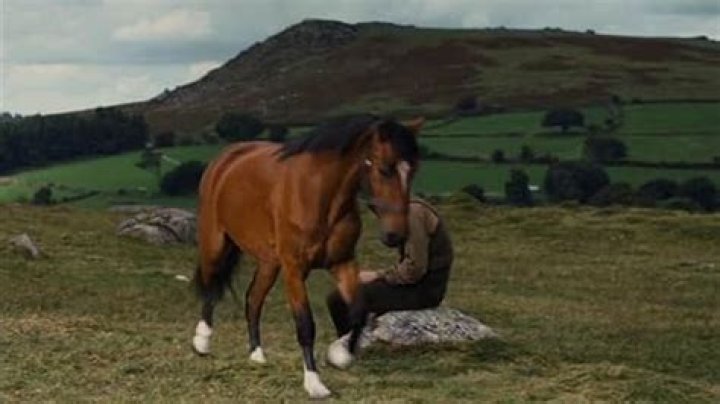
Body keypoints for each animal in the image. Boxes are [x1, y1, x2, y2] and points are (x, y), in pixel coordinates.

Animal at [191, 114, 424, 398]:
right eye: (384, 169)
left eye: (413, 170)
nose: (396, 235)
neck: (320, 198)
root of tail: (225, 159)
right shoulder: (295, 269)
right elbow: (305, 325)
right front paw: (314, 383)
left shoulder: (342, 263)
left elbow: (358, 311)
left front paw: (340, 356)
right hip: (215, 242)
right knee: (211, 284)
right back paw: (202, 341)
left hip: (269, 262)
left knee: (253, 299)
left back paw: (256, 354)